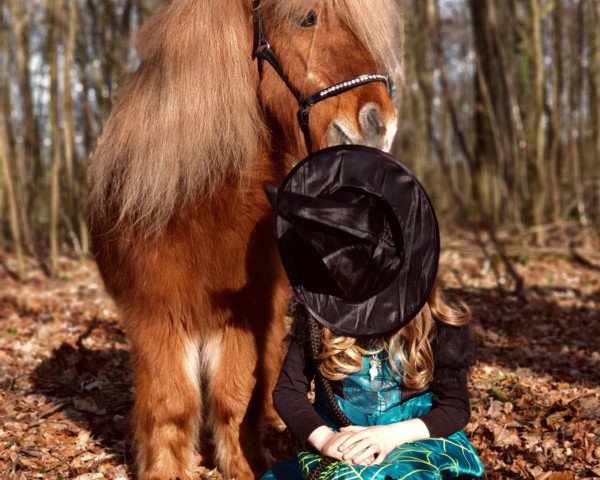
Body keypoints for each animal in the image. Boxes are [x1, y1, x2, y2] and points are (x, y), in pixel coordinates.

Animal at [88, 1, 404, 478]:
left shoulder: (247, 314)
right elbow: (171, 404)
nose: (380, 123)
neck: (197, 202)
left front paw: (246, 465)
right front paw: (166, 469)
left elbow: (234, 397)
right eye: (306, 18)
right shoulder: (156, 316)